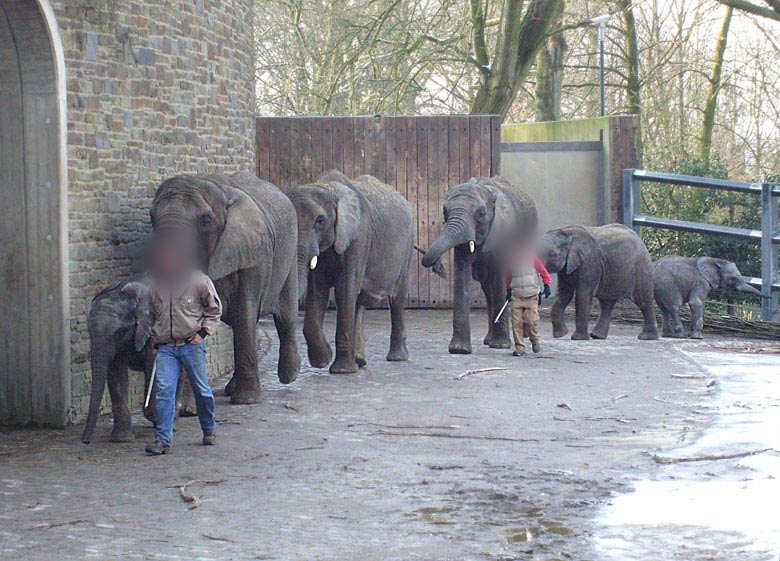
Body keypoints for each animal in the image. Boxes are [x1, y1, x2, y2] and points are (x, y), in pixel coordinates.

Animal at [81, 278, 156, 444]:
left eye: (120, 332)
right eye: (89, 331)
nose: (85, 441)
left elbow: (154, 368)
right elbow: (115, 374)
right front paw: (122, 439)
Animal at [149, 171, 298, 402]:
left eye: (206, 220)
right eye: (151, 217)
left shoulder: (254, 254)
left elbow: (245, 310)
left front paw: (246, 400)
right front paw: (184, 406)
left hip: (289, 254)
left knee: (284, 316)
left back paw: (288, 376)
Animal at [424, 175, 540, 352]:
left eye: (481, 214)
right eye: (445, 212)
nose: (437, 266)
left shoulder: (502, 231)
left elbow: (499, 278)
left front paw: (500, 346)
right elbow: (462, 276)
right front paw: (459, 349)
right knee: (487, 287)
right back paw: (488, 340)